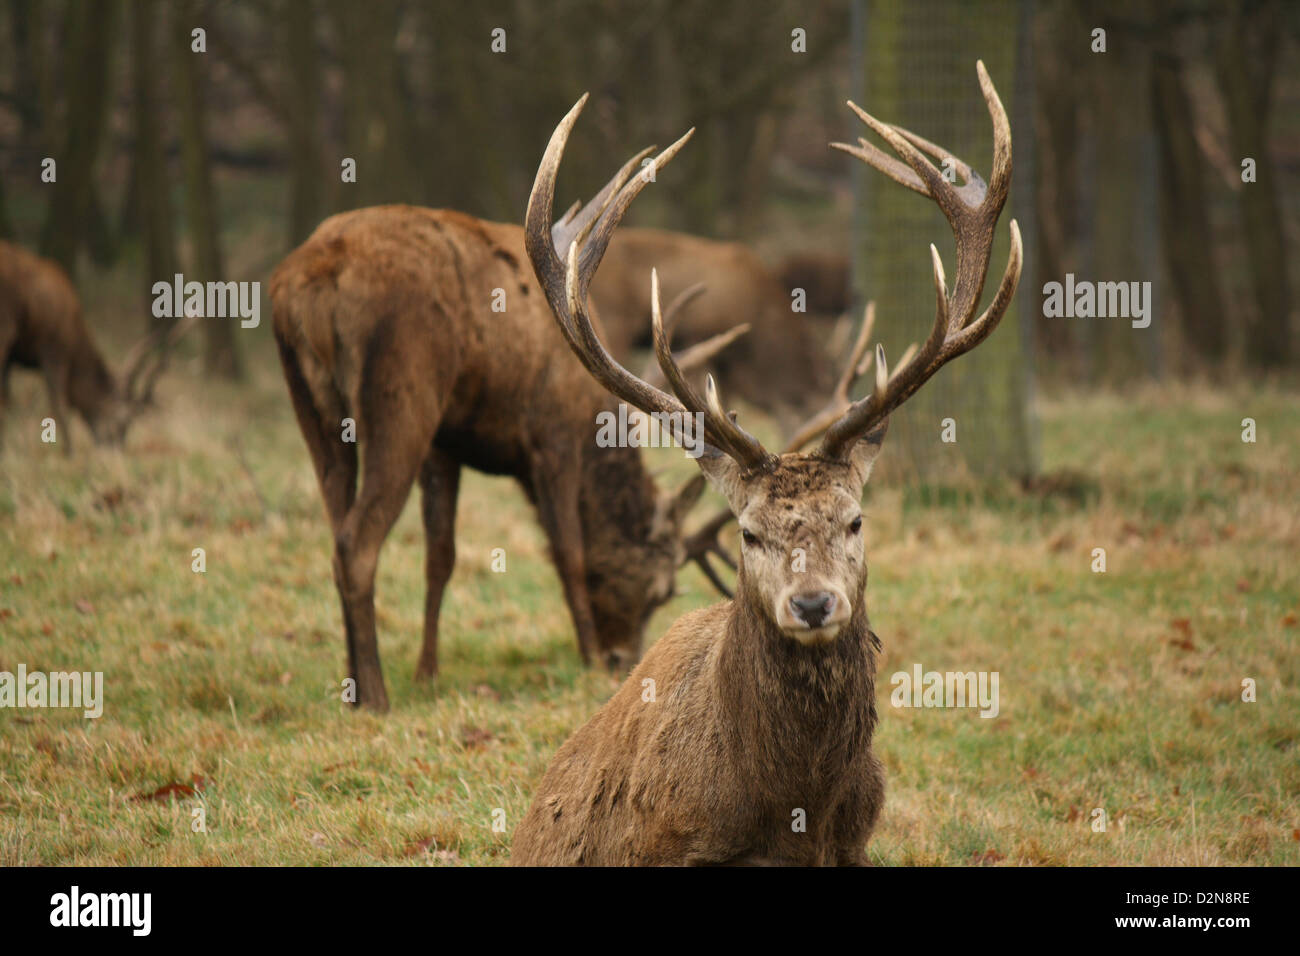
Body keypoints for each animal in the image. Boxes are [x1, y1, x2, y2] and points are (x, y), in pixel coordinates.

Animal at [0, 238, 189, 450]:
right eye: (123, 423)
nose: (114, 448)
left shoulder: (17, 356)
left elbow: (8, 398)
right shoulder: (54, 348)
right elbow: (58, 402)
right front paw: (69, 450)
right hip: (5, 327)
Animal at [269, 205, 748, 712]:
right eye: (663, 590)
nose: (623, 659)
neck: (592, 418)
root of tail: (312, 282)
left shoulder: (445, 444)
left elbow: (441, 556)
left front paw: (427, 672)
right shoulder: (553, 436)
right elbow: (568, 551)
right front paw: (588, 659)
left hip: (315, 408)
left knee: (336, 528)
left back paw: (352, 685)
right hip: (401, 397)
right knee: (355, 542)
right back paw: (376, 695)